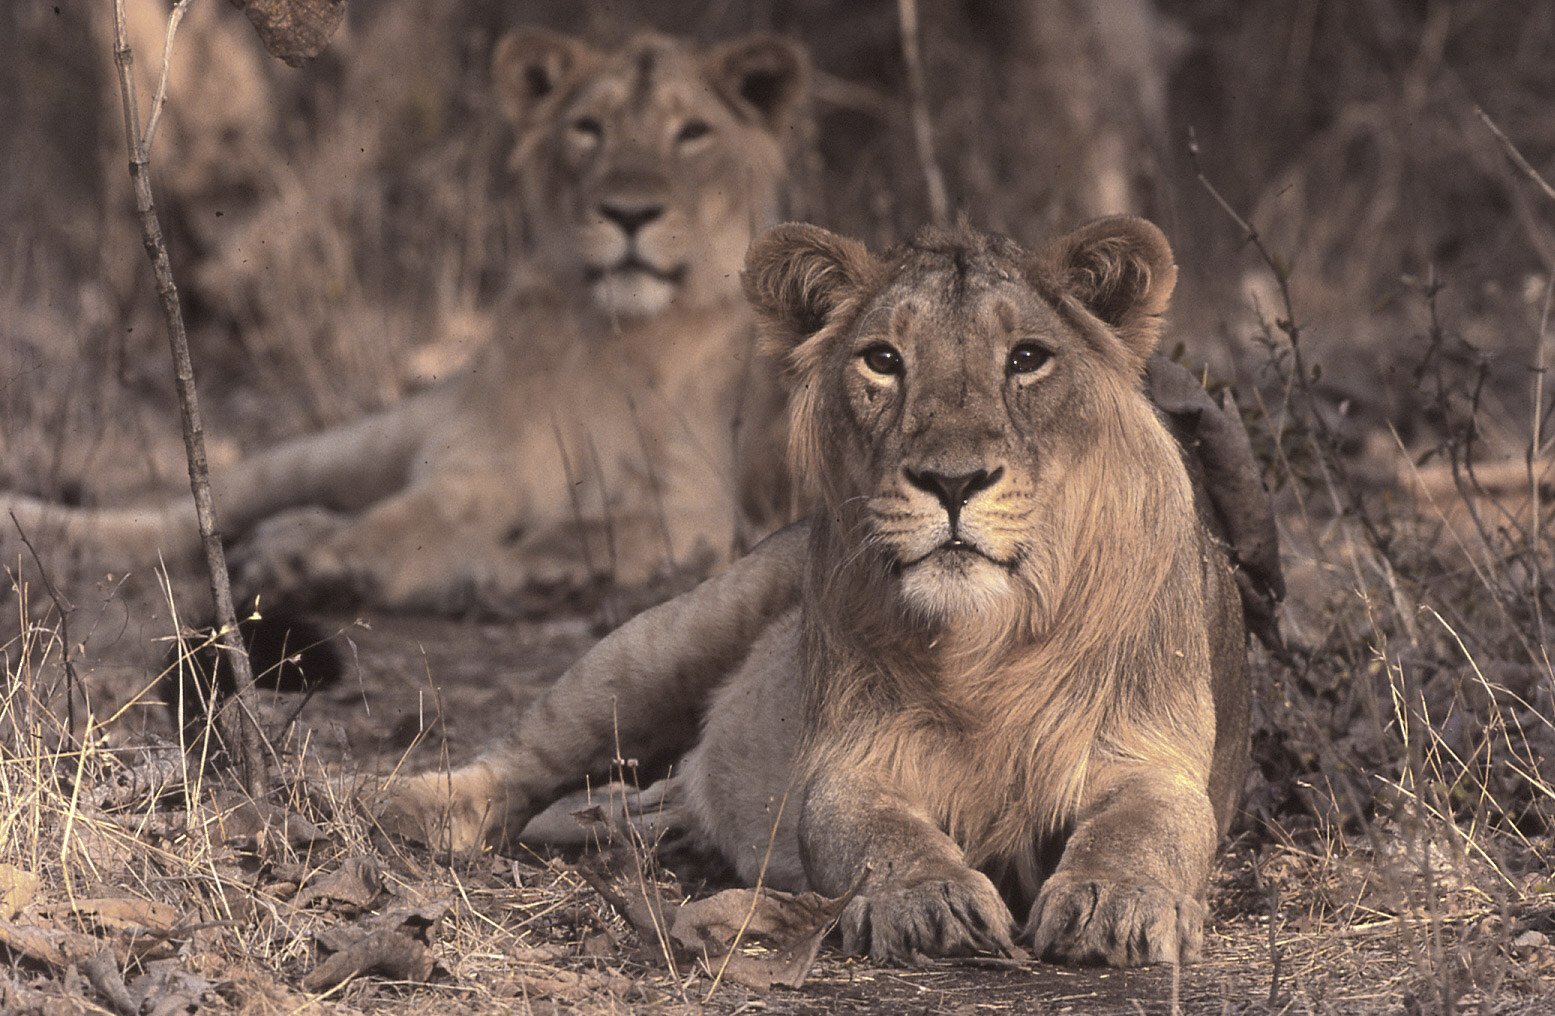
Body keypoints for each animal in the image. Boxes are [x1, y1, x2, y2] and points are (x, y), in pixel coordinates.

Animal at [2, 29, 805, 613]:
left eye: (693, 133)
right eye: (588, 128)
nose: (630, 213)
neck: (609, 339)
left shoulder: (701, 501)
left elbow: (599, 526)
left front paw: (530, 570)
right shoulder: (480, 465)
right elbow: (415, 519)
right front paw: (329, 561)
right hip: (356, 444)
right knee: (187, 511)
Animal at [382, 215, 1263, 967]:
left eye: (1025, 359)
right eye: (883, 360)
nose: (951, 482)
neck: (988, 643)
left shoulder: (1152, 756)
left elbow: (1145, 829)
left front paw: (1115, 903)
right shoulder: (851, 759)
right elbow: (873, 834)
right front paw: (928, 900)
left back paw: (625, 826)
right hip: (661, 643)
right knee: (524, 756)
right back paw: (403, 806)